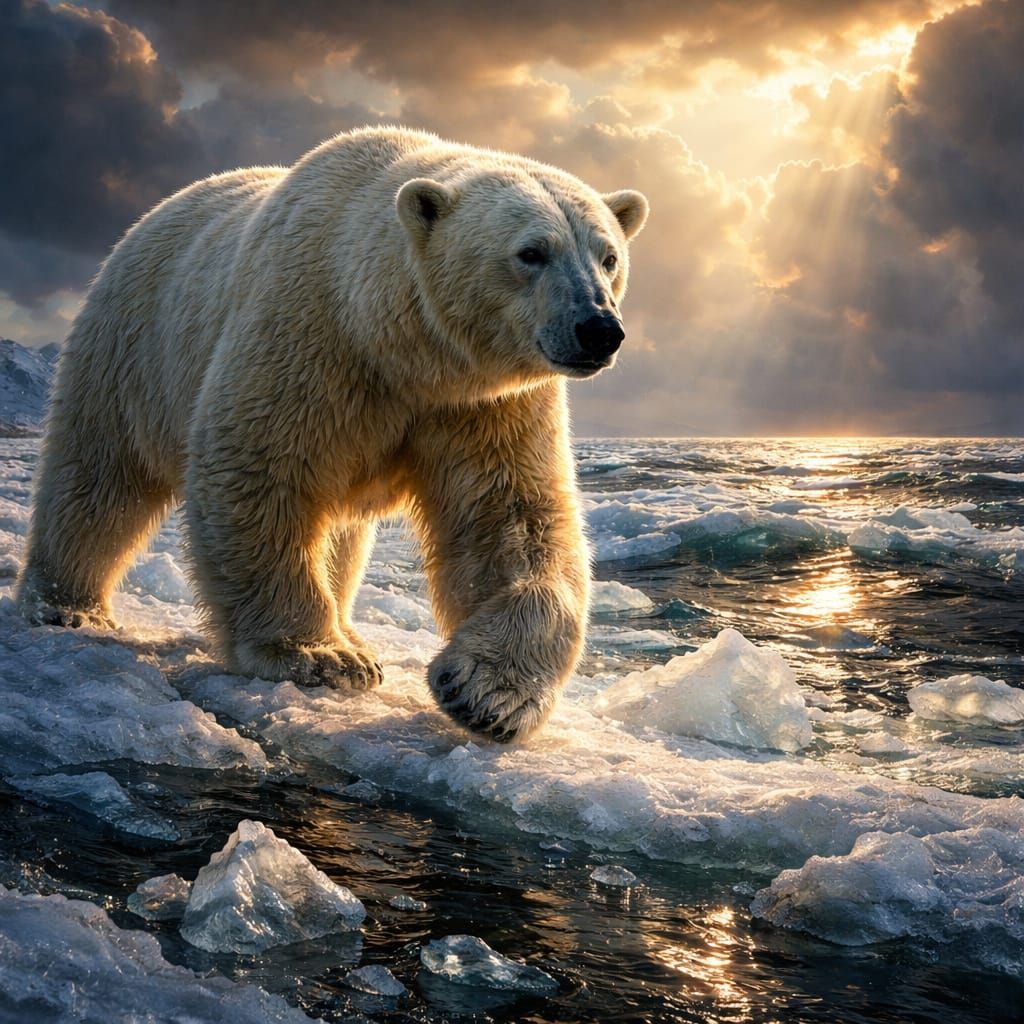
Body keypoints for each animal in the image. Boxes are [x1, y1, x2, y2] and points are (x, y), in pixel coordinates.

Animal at [17, 126, 648, 742]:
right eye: (531, 252)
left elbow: (512, 519)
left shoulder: (484, 402)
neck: (395, 342)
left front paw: (485, 693)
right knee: (98, 479)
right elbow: (260, 470)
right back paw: (68, 607)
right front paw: (319, 657)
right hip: (133, 346)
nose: (599, 328)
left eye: (608, 256)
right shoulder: (308, 338)